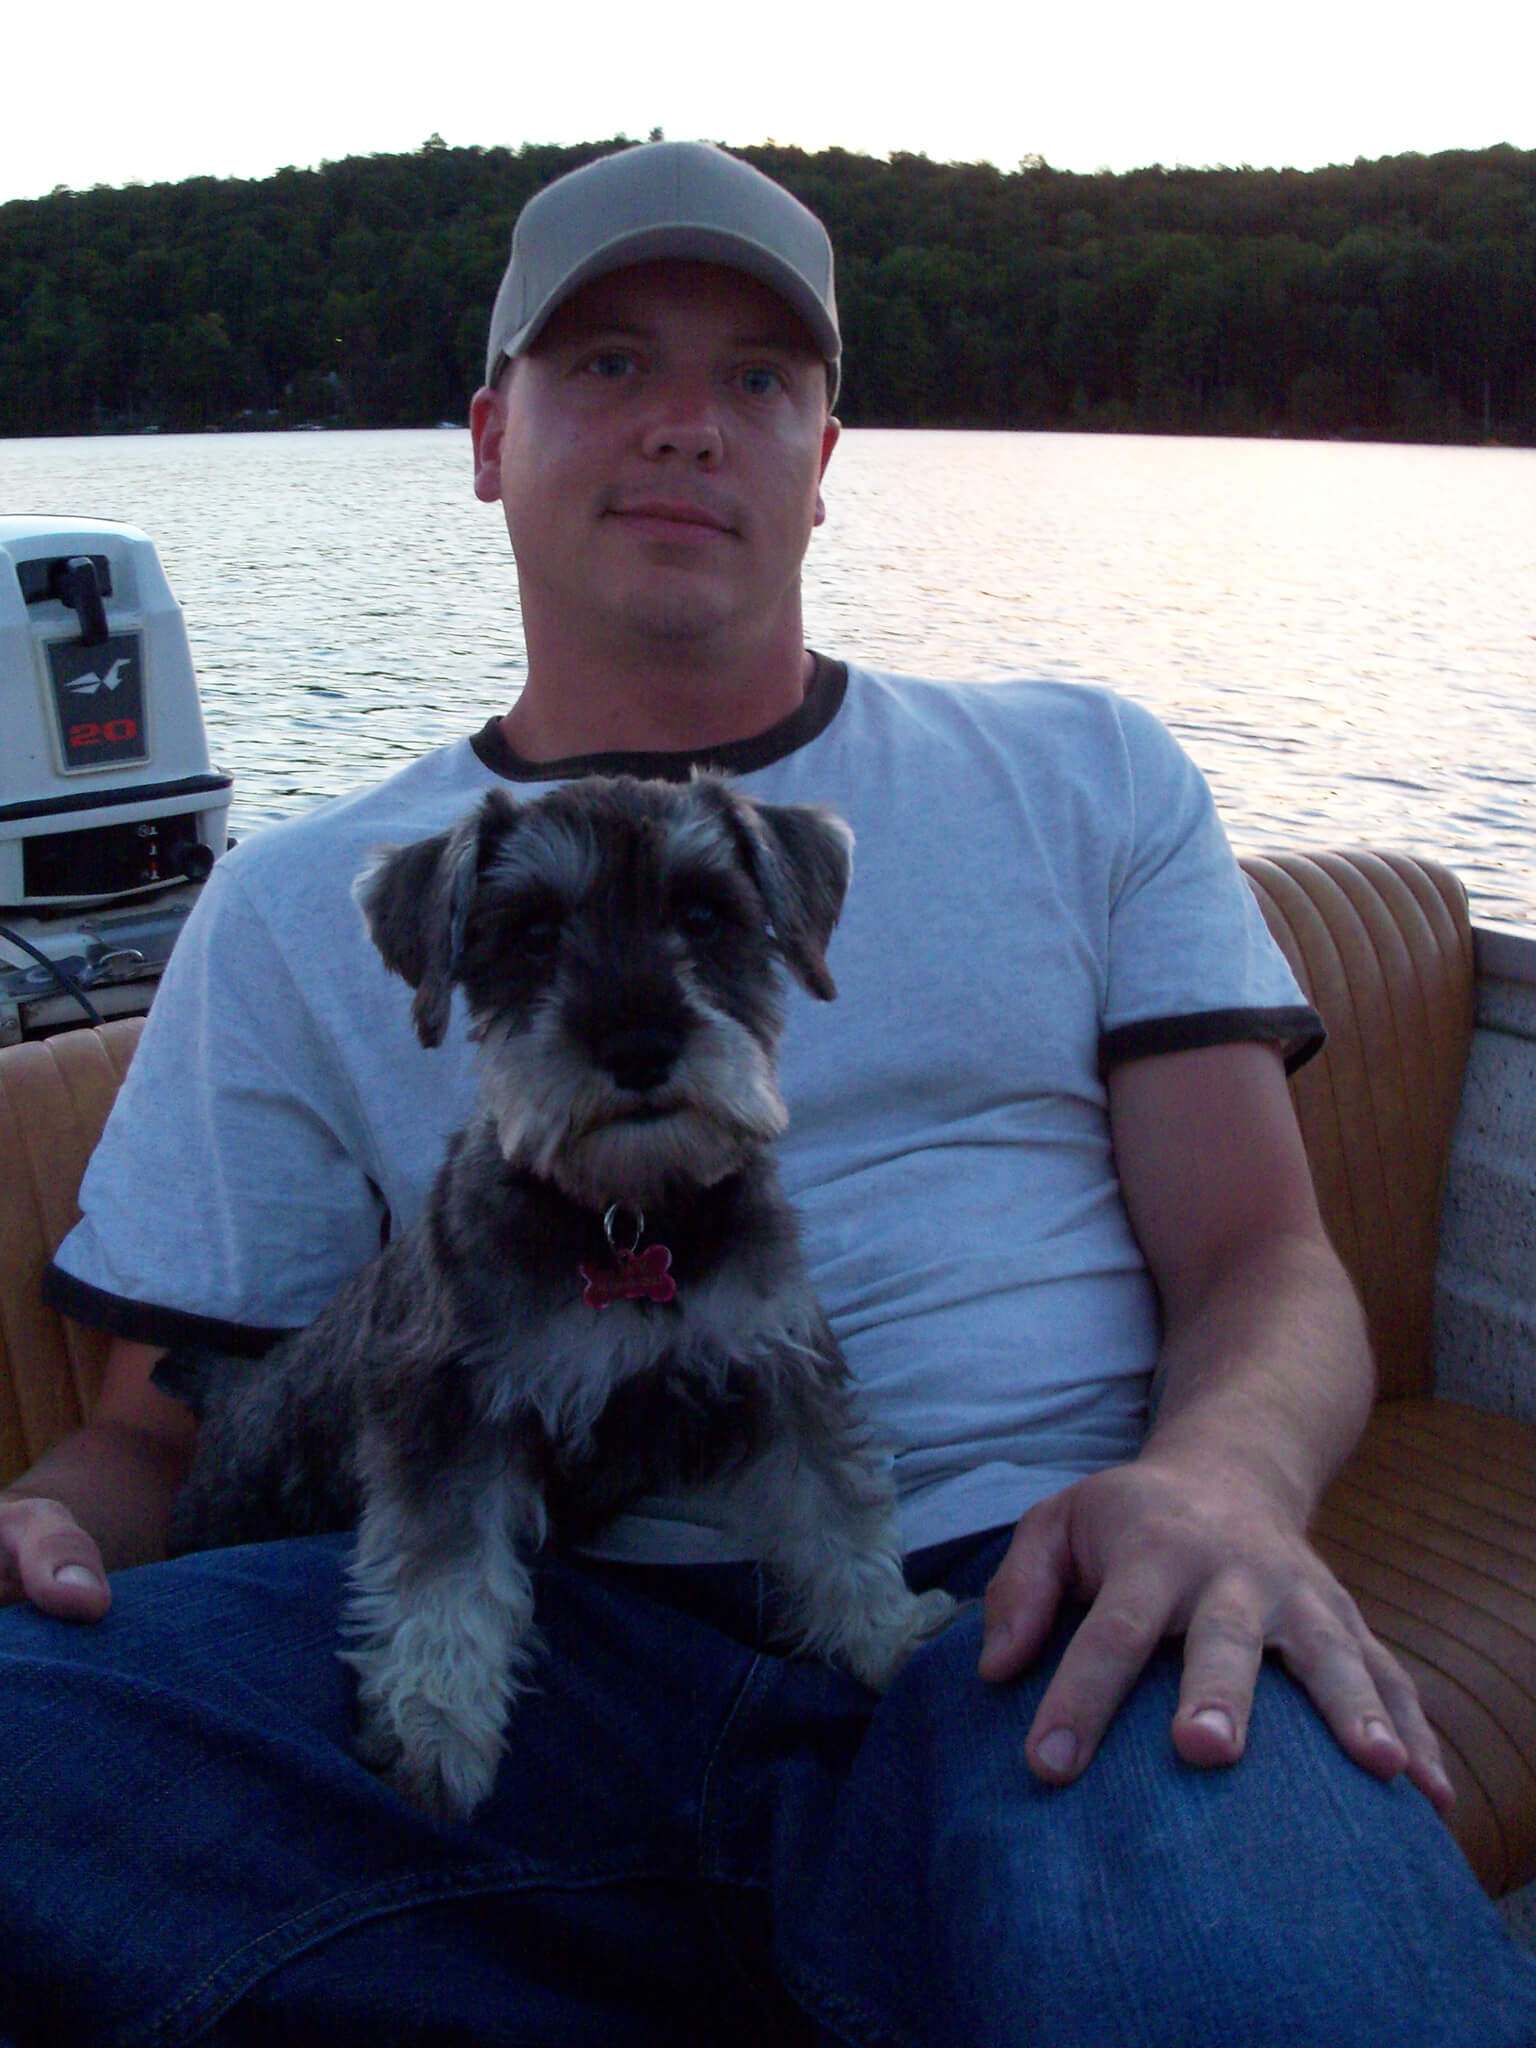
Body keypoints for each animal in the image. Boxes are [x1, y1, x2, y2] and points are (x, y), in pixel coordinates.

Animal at [156, 773, 957, 1820]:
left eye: (704, 915)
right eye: (533, 933)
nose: (640, 1046)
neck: (630, 1218)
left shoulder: (779, 1366)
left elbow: (835, 1508)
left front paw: (888, 1632)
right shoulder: (452, 1414)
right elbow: (443, 1580)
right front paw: (436, 1729)